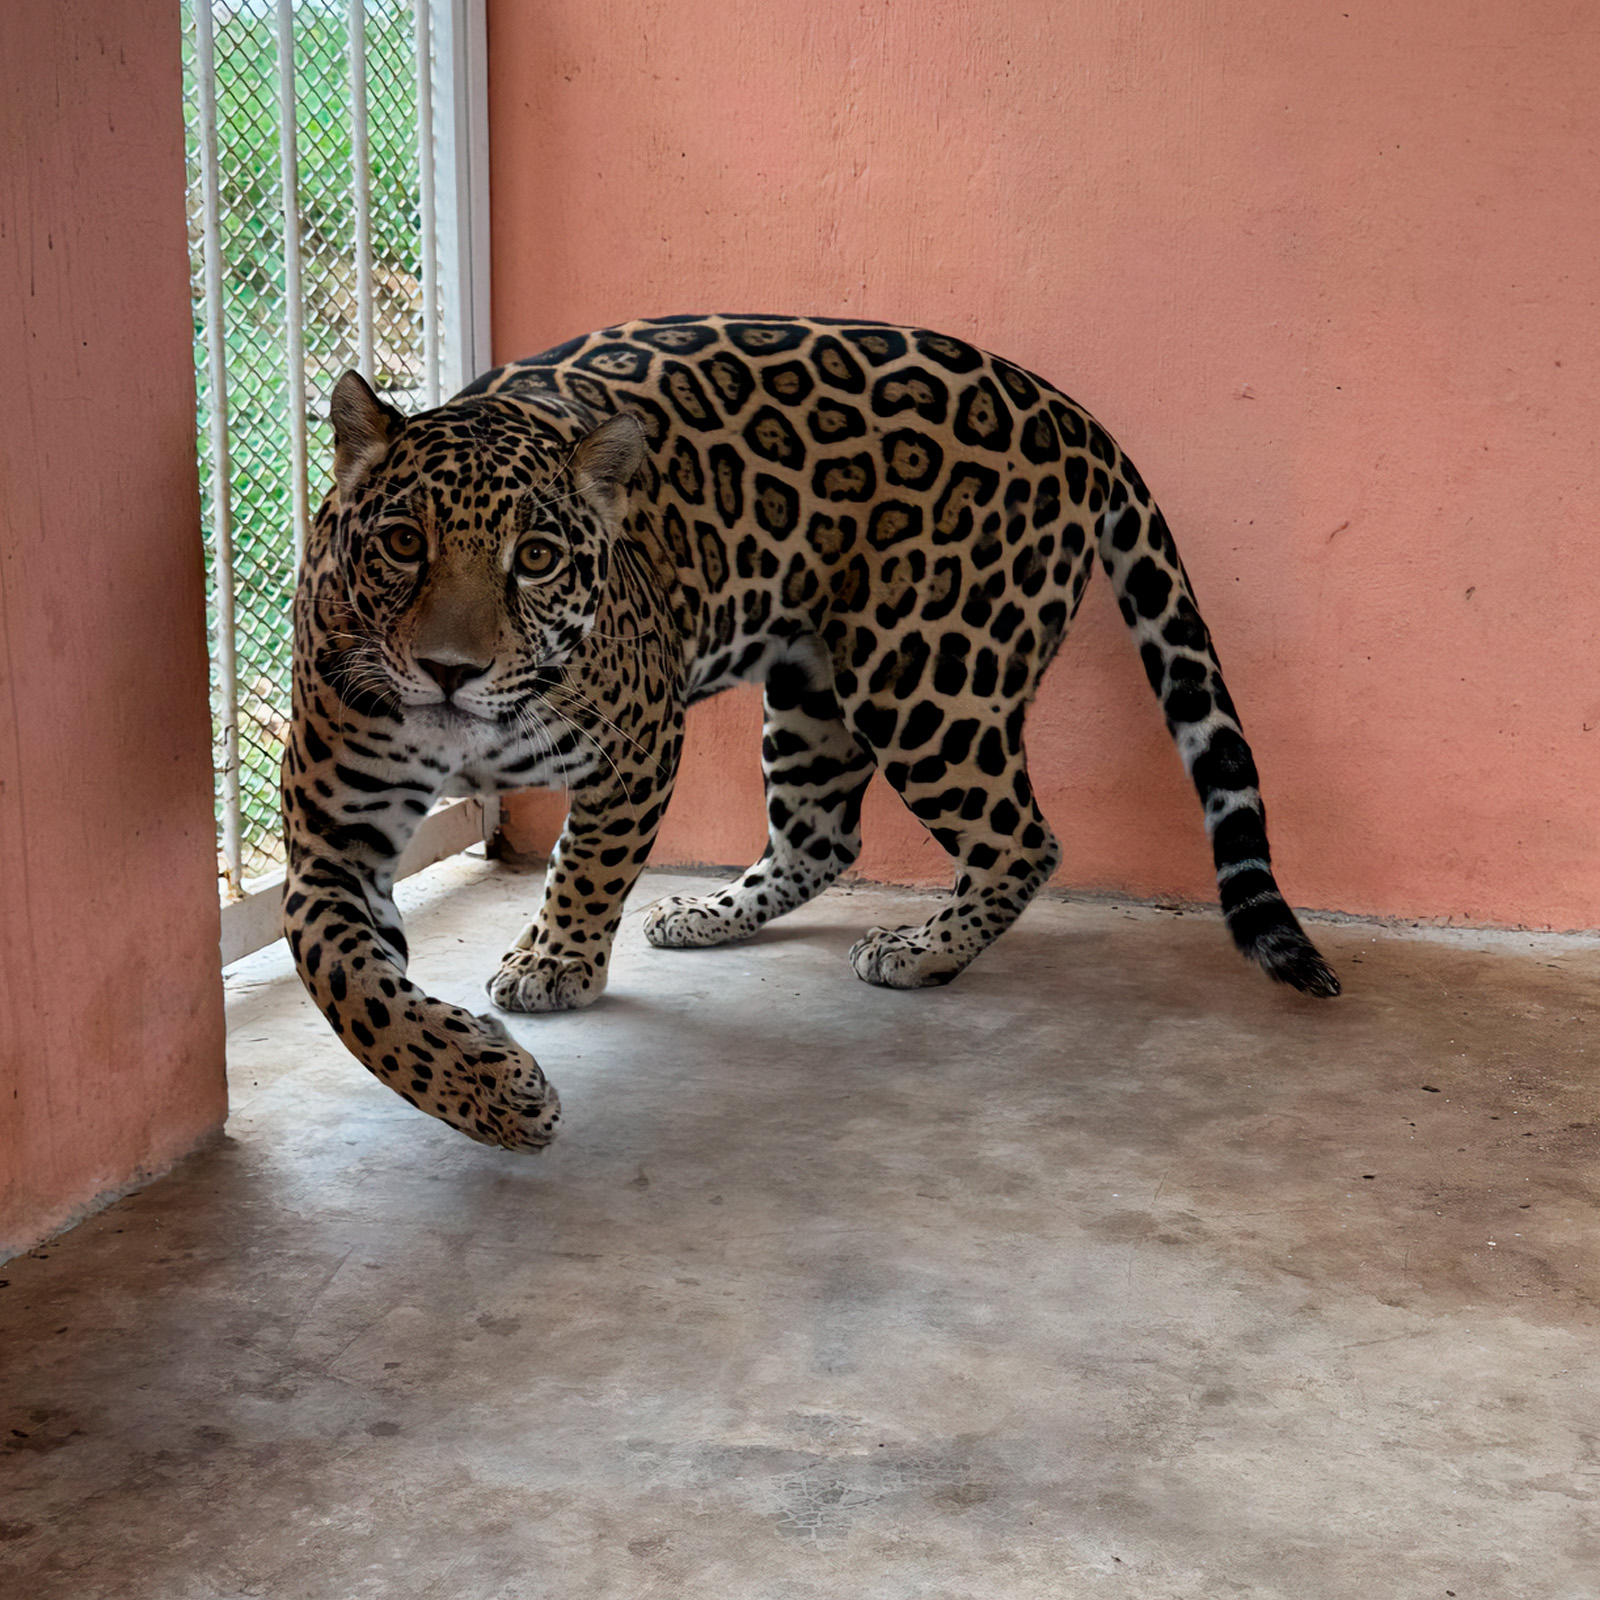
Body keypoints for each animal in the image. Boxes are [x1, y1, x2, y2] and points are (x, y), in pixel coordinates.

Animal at [281, 313, 1339, 1154]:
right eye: (403, 543)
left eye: (535, 558)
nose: (450, 672)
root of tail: (1076, 416)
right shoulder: (335, 836)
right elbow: (346, 980)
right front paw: (486, 1093)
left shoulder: (640, 740)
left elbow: (586, 863)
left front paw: (555, 965)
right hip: (811, 689)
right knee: (822, 835)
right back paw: (705, 915)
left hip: (927, 682)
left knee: (1022, 840)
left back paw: (922, 953)